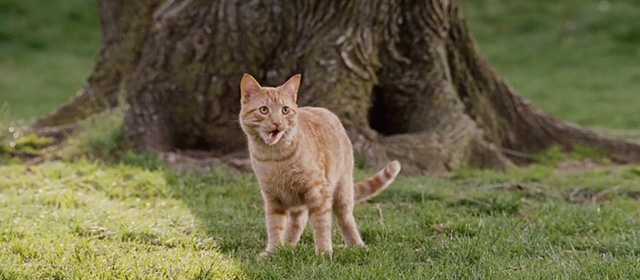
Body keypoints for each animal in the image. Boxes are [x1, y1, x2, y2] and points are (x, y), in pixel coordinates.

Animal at [240, 74, 400, 256]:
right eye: (264, 110)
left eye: (285, 110)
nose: (277, 123)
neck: (275, 157)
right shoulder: (273, 197)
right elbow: (275, 226)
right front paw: (273, 252)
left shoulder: (318, 191)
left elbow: (322, 226)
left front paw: (323, 253)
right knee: (298, 221)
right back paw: (287, 246)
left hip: (342, 191)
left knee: (346, 219)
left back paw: (357, 246)